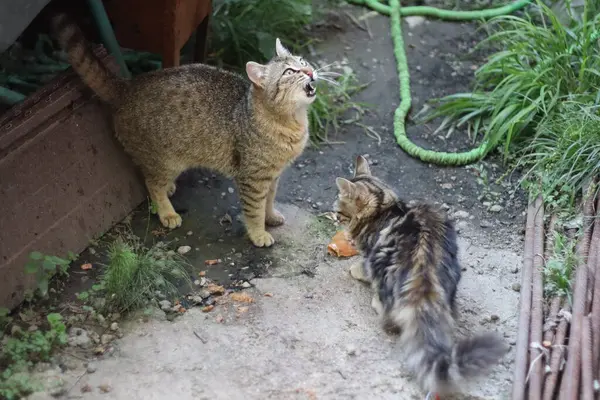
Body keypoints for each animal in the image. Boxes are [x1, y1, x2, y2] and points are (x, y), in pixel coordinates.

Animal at [50, 14, 328, 247]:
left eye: (302, 61)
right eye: (290, 71)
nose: (310, 70)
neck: (291, 121)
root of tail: (128, 87)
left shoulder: (272, 175)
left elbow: (269, 201)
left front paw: (270, 216)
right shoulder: (252, 178)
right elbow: (254, 210)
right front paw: (258, 233)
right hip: (166, 161)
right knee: (151, 182)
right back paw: (167, 212)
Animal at [332, 155, 506, 396]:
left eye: (339, 210)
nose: (331, 215)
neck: (384, 208)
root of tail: (424, 276)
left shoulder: (369, 252)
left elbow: (363, 266)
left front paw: (356, 270)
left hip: (383, 267)